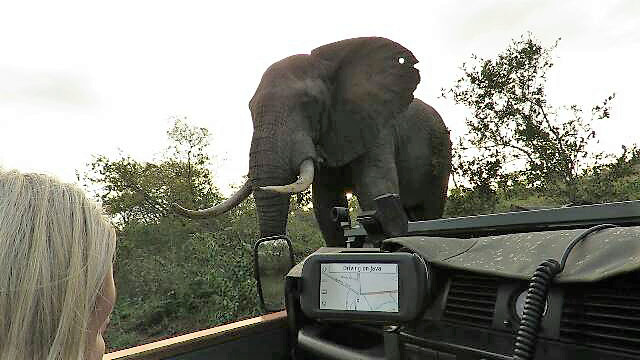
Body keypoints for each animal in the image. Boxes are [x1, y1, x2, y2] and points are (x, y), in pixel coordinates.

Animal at [172, 37, 452, 248]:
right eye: (250, 109)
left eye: (309, 103)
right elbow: (327, 208)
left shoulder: (376, 126)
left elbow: (375, 191)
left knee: (428, 210)